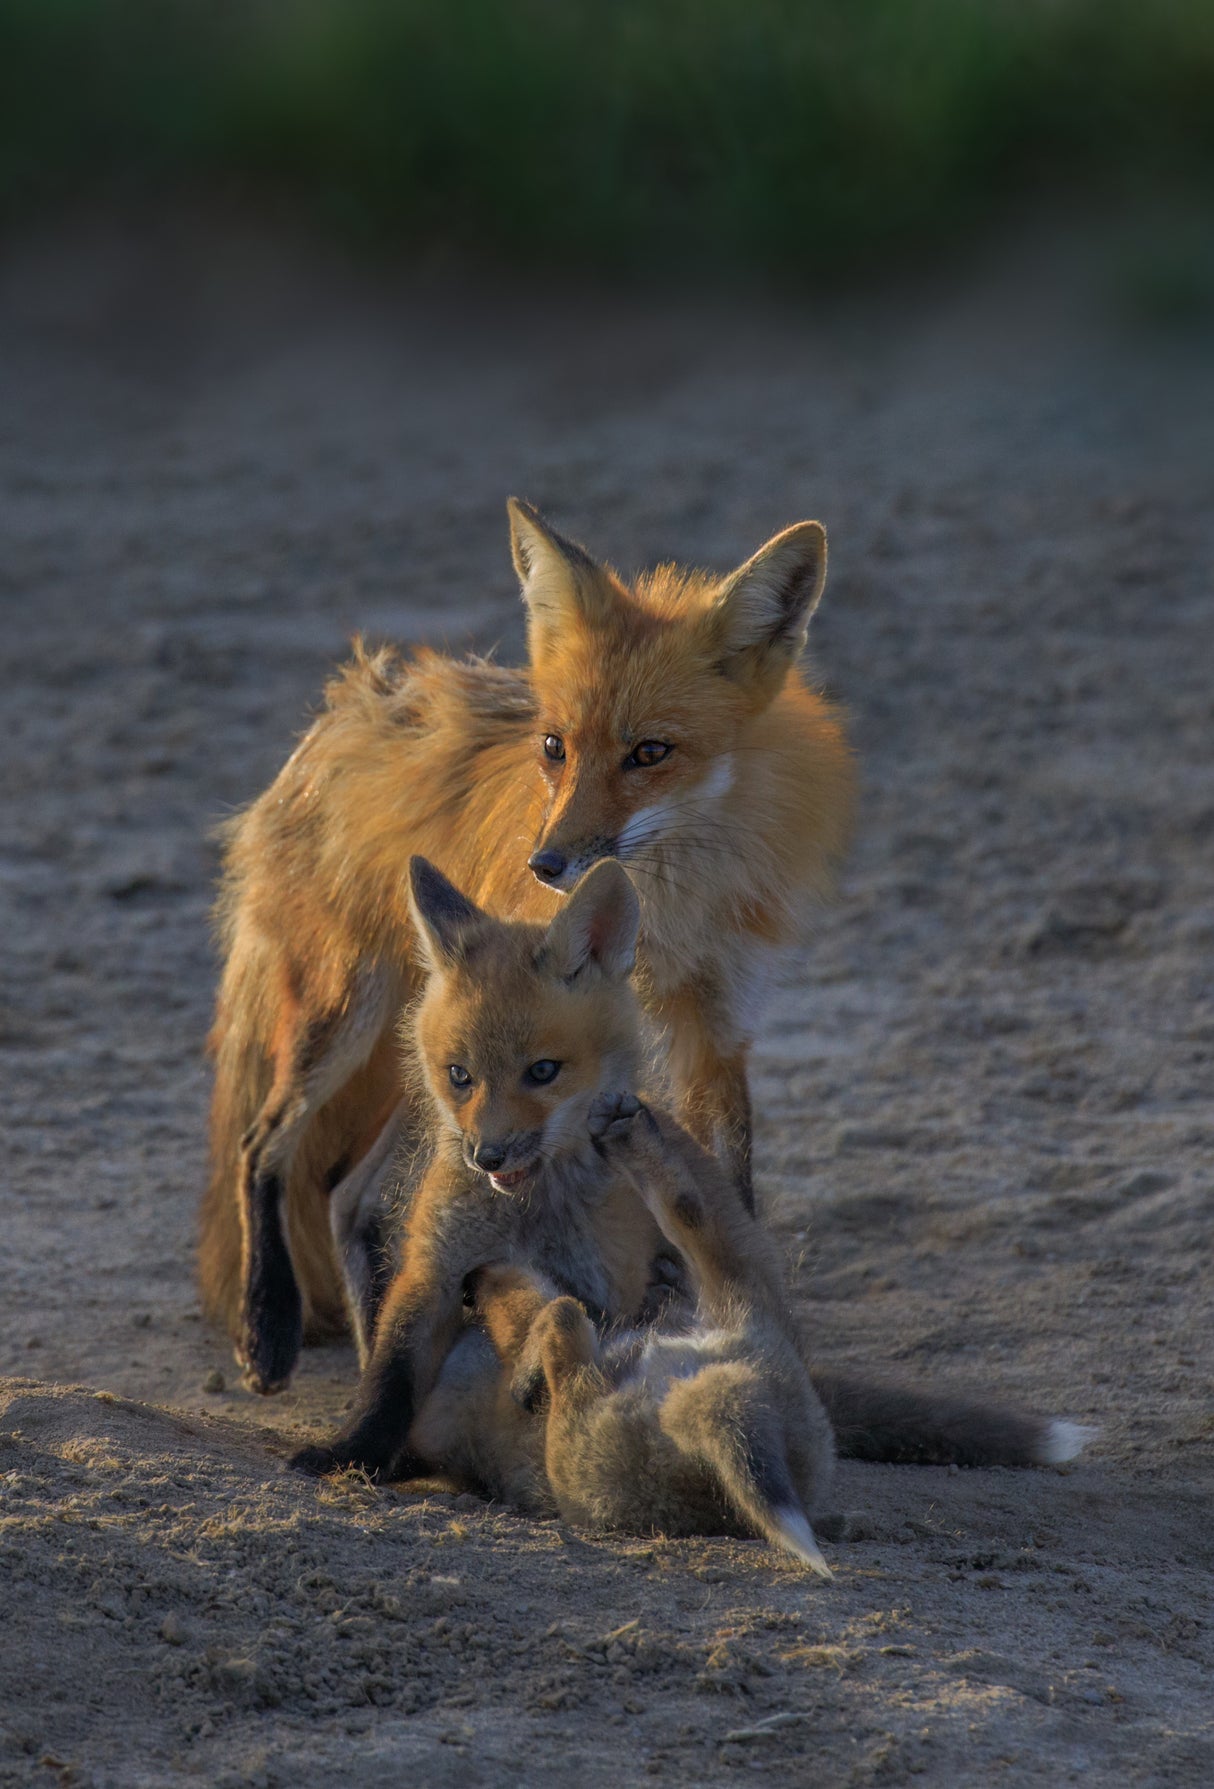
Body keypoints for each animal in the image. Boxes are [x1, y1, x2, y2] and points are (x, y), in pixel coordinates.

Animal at [200, 499, 856, 1394]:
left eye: (649, 752)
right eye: (555, 747)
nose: (544, 865)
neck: (670, 907)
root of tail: (347, 706)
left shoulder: (715, 1027)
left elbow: (728, 1197)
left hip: (416, 1060)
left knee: (345, 1200)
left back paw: (380, 1358)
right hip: (354, 1023)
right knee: (263, 1144)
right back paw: (268, 1324)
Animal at [291, 855, 1093, 1496]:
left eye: (543, 1072)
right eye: (459, 1075)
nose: (486, 1156)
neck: (541, 1209)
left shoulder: (606, 1285)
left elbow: (562, 1327)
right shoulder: (434, 1270)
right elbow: (388, 1381)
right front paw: (349, 1454)